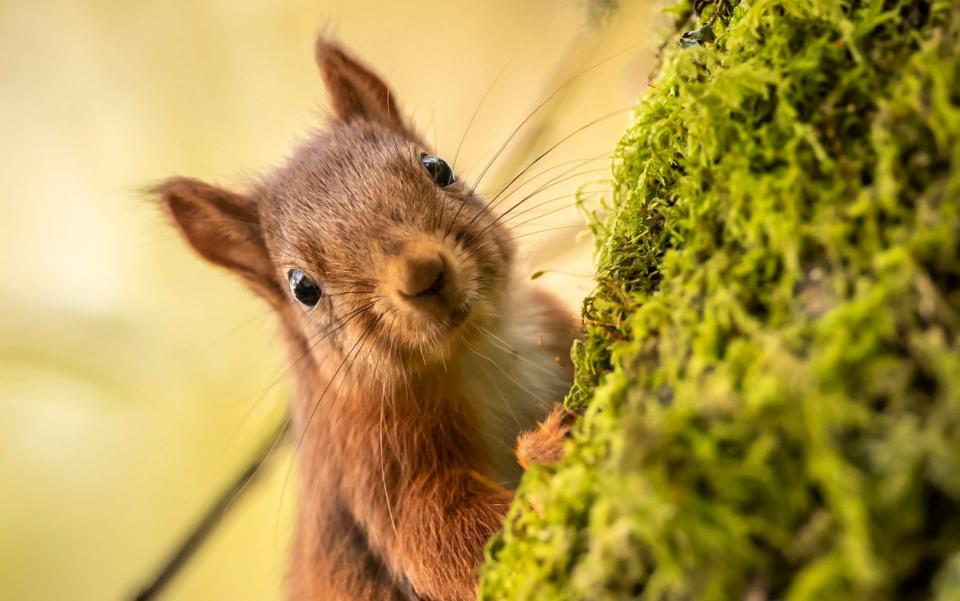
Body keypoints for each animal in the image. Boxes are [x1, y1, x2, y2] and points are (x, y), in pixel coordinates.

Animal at [155, 38, 576, 600]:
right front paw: (546, 454)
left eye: (438, 167)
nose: (423, 273)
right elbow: (448, 541)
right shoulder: (374, 471)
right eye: (302, 288)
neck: (477, 352)